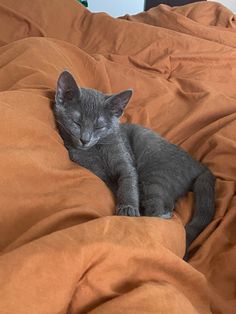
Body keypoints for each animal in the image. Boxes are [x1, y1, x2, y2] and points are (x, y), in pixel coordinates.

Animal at [54, 71, 216, 258]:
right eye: (76, 123)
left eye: (99, 127)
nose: (84, 139)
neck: (97, 149)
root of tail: (200, 166)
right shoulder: (90, 166)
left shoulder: (124, 158)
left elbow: (128, 181)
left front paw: (128, 208)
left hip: (154, 173)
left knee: (159, 210)